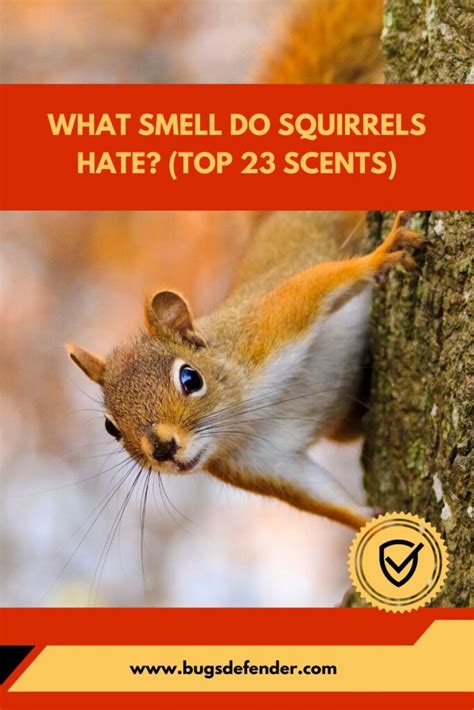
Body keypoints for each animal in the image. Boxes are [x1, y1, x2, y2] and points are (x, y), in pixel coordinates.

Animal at [67, 0, 422, 530]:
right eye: (110, 426)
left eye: (190, 379)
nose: (164, 449)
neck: (244, 414)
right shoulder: (258, 462)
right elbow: (322, 498)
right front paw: (370, 524)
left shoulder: (268, 327)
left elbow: (316, 286)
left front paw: (382, 254)